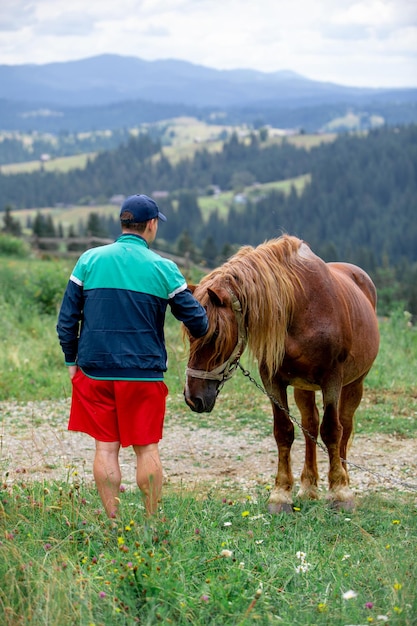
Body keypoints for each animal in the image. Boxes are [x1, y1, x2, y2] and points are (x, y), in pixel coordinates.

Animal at [184, 235, 378, 512]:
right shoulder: (273, 381)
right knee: (310, 425)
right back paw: (309, 487)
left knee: (345, 426)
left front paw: (340, 492)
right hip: (303, 388)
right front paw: (280, 494)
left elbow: (332, 430)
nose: (192, 398)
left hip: (354, 384)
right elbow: (284, 432)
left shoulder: (332, 379)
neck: (302, 308)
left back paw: (344, 477)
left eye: (214, 334)